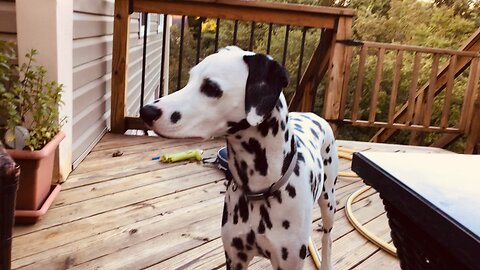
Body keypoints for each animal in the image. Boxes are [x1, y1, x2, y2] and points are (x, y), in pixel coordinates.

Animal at [141, 46, 340, 270]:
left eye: (211, 87)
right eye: (191, 78)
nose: (146, 111)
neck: (259, 190)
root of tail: (313, 115)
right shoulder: (235, 258)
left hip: (328, 200)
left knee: (327, 237)